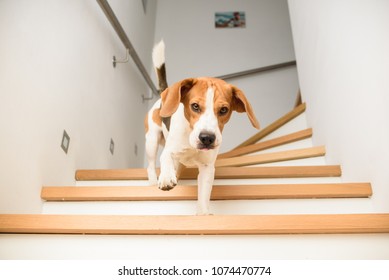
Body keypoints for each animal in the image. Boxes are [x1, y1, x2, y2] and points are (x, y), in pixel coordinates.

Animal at [144, 40, 260, 214]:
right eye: (195, 106)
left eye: (224, 110)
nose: (207, 138)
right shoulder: (170, 149)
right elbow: (165, 157)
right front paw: (165, 177)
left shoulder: (207, 168)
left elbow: (204, 194)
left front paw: (203, 213)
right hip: (151, 139)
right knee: (151, 165)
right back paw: (153, 182)